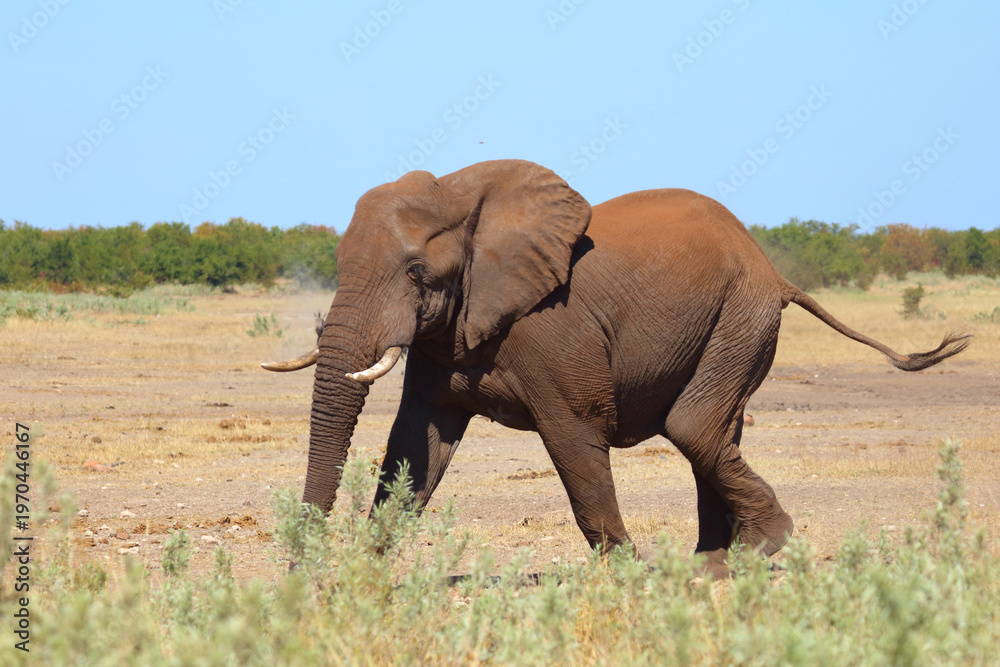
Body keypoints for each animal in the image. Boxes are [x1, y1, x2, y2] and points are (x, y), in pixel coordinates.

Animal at [262, 159, 969, 575]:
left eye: (415, 272)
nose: (303, 578)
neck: (465, 195)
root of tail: (774, 270)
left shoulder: (550, 329)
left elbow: (573, 436)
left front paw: (628, 572)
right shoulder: (447, 334)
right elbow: (418, 442)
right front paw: (367, 573)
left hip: (739, 318)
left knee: (694, 428)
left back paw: (760, 551)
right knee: (716, 434)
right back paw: (712, 565)